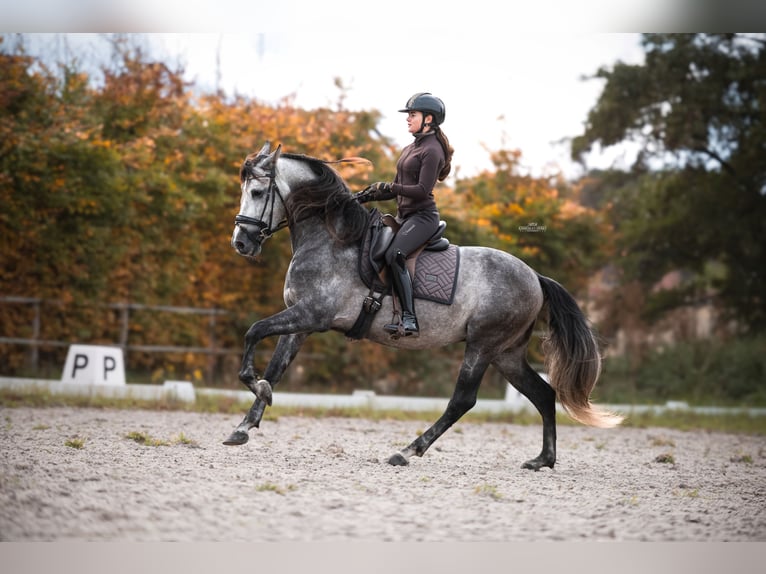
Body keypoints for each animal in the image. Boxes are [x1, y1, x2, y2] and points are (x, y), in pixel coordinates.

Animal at [225, 143, 620, 472]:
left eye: (257, 193)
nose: (241, 243)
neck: (333, 240)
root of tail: (535, 277)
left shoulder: (312, 315)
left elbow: (253, 332)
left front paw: (256, 389)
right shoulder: (301, 323)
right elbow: (274, 368)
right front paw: (245, 424)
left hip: (483, 345)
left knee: (463, 401)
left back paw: (407, 451)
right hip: (506, 353)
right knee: (543, 394)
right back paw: (542, 460)